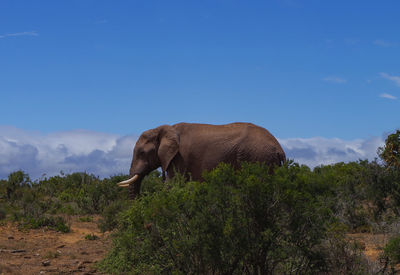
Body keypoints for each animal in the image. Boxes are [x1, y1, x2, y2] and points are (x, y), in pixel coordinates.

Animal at [117, 122, 286, 198]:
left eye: (141, 152)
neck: (164, 128)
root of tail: (280, 149)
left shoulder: (180, 156)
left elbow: (171, 186)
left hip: (258, 158)